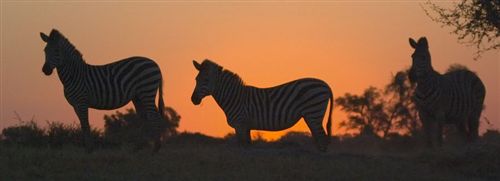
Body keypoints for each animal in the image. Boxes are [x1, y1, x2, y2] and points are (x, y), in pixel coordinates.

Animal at [190, 59, 332, 151]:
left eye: (206, 80)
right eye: (196, 79)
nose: (193, 100)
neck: (234, 97)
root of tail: (325, 84)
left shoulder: (240, 124)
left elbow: (242, 148)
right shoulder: (246, 126)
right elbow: (248, 147)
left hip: (314, 112)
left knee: (322, 138)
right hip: (311, 115)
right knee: (319, 138)